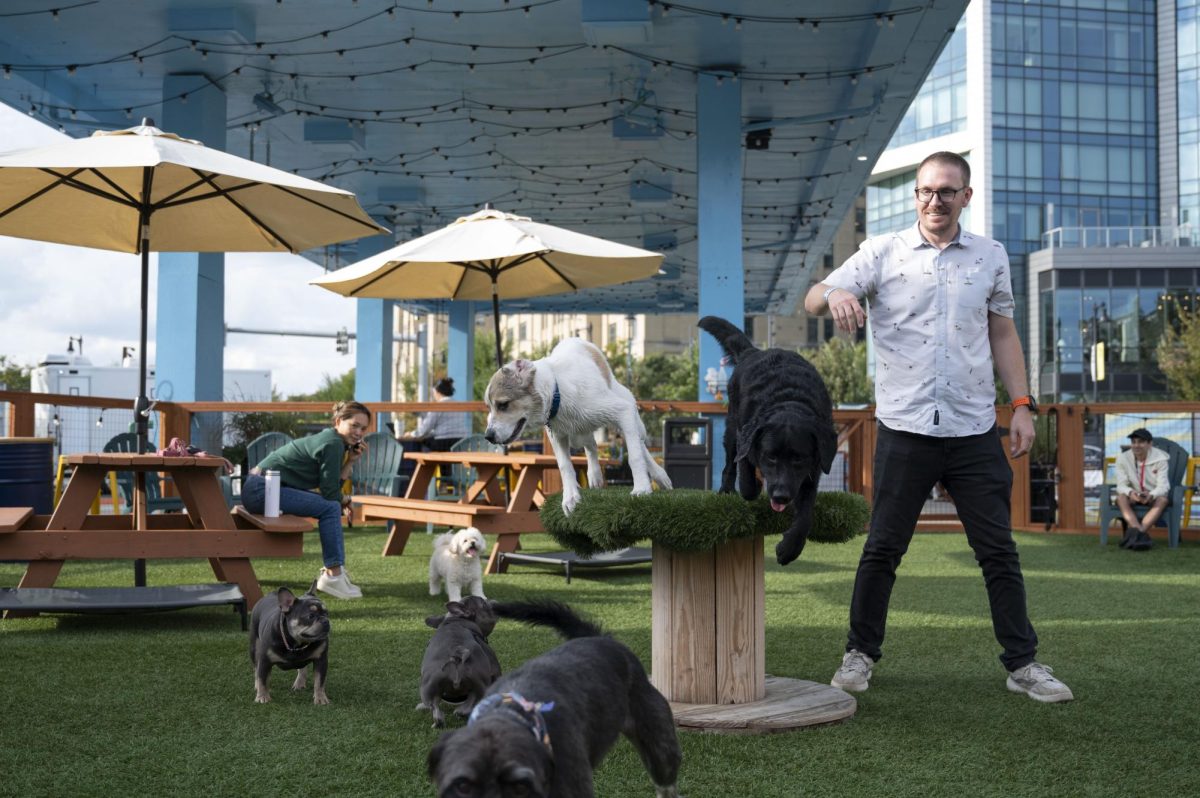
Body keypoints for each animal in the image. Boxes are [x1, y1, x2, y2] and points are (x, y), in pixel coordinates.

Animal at [417, 595, 501, 724]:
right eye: (483, 603)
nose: (492, 601)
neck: (456, 620)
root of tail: (457, 656)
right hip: (482, 685)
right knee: (473, 700)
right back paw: (461, 711)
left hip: (427, 687)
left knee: (434, 706)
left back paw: (439, 719)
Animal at [482, 333, 672, 511]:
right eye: (490, 407)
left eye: (503, 404)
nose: (488, 436)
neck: (558, 393)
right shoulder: (556, 435)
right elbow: (565, 465)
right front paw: (570, 498)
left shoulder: (622, 411)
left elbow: (635, 455)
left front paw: (641, 488)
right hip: (580, 433)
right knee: (592, 445)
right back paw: (595, 475)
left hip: (628, 414)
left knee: (639, 443)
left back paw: (660, 475)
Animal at [700, 314, 840, 564]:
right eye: (771, 457)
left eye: (798, 459)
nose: (781, 496)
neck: (789, 401)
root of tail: (753, 351)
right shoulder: (746, 435)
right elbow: (746, 479)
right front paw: (753, 485)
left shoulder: (812, 470)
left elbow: (805, 514)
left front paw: (789, 548)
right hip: (731, 428)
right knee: (729, 465)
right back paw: (727, 489)